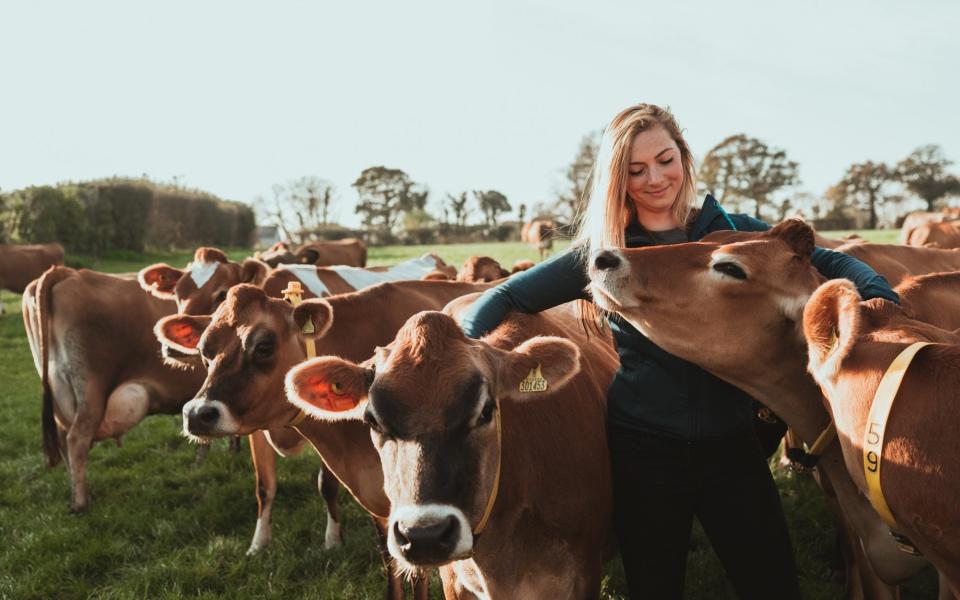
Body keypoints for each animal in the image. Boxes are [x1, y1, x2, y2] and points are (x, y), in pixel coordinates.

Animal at [20, 268, 205, 510]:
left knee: (63, 439)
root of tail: (70, 273)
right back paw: (80, 504)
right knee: (76, 439)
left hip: (60, 392)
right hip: (91, 392)